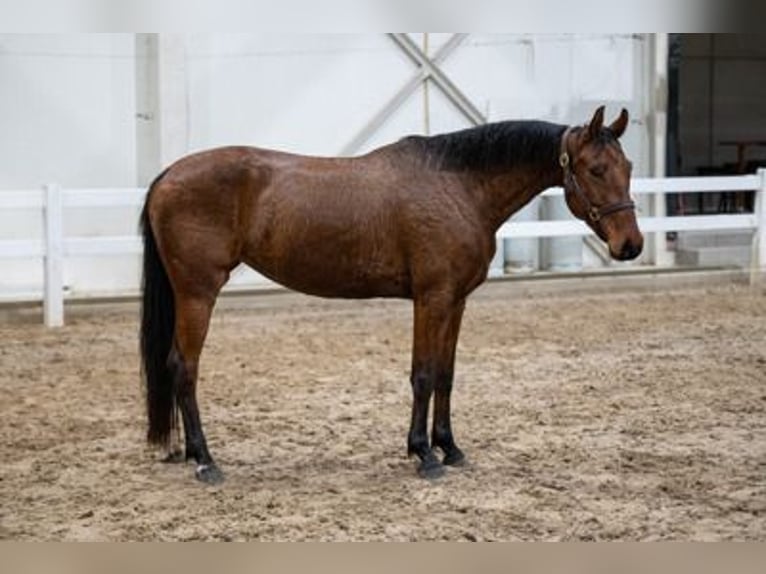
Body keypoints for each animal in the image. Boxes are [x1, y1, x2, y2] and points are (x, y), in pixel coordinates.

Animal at [141, 106, 644, 484]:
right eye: (596, 169)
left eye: (630, 167)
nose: (631, 245)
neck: (458, 184)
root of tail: (167, 175)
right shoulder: (432, 298)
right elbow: (422, 375)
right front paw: (423, 455)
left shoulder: (456, 301)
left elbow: (445, 375)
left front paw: (450, 448)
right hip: (198, 294)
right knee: (183, 368)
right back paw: (205, 461)